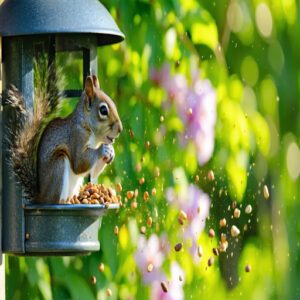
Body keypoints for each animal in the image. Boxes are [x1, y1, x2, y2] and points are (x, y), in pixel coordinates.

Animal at [5, 72, 122, 204]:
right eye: (103, 110)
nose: (120, 129)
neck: (86, 124)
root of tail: (40, 197)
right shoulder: (76, 137)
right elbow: (79, 163)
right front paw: (103, 149)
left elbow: (93, 173)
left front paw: (111, 151)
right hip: (58, 166)